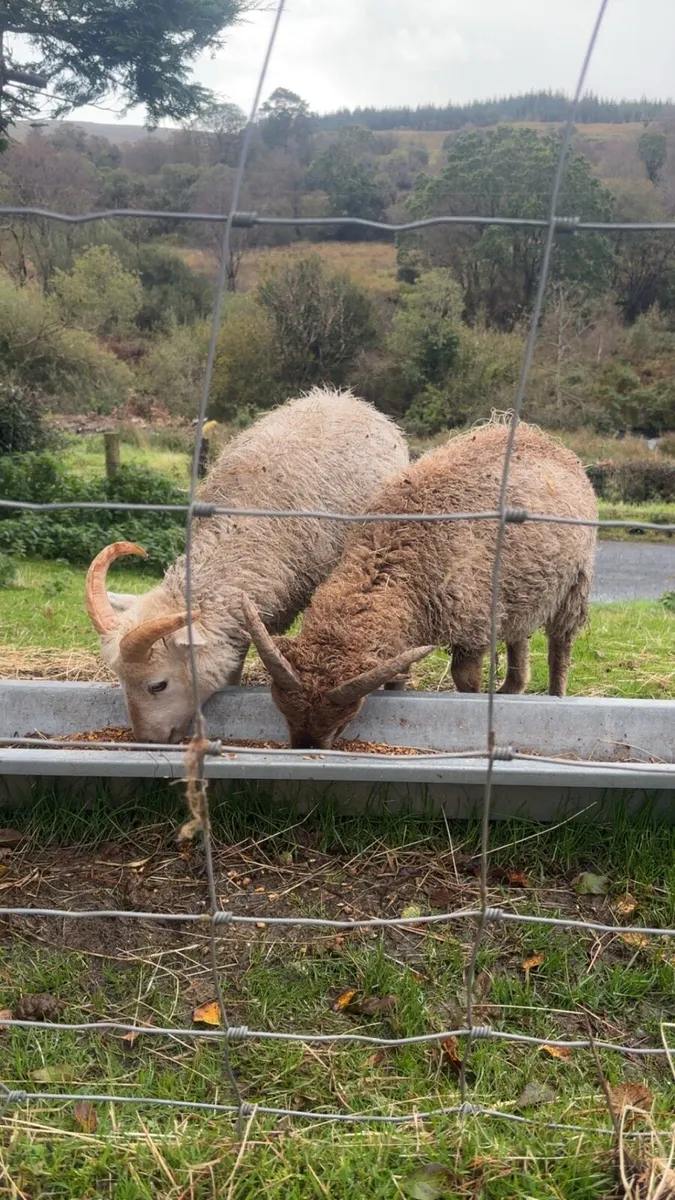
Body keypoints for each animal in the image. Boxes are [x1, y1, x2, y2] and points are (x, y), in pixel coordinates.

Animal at [242, 419, 598, 749]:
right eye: (283, 711)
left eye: (346, 717)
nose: (308, 747)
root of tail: (539, 437)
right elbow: (396, 682)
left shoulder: (474, 627)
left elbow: (465, 680)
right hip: (520, 590)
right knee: (519, 636)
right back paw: (511, 689)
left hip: (576, 583)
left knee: (560, 647)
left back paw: (555, 694)